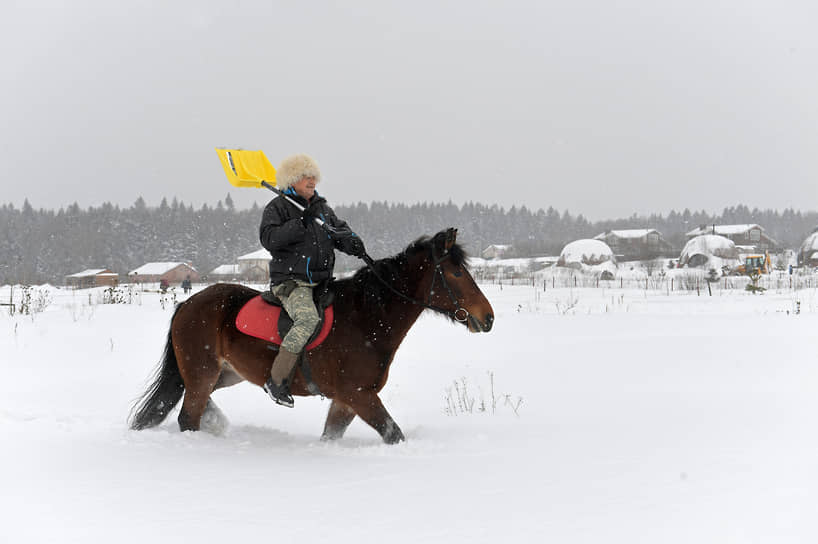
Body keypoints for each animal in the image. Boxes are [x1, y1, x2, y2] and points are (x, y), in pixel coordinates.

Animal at [128, 228, 494, 444]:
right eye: (456, 273)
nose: (487, 317)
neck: (366, 317)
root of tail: (188, 303)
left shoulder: (347, 400)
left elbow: (331, 435)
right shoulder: (359, 395)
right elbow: (394, 433)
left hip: (224, 374)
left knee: (198, 404)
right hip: (202, 373)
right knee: (189, 415)